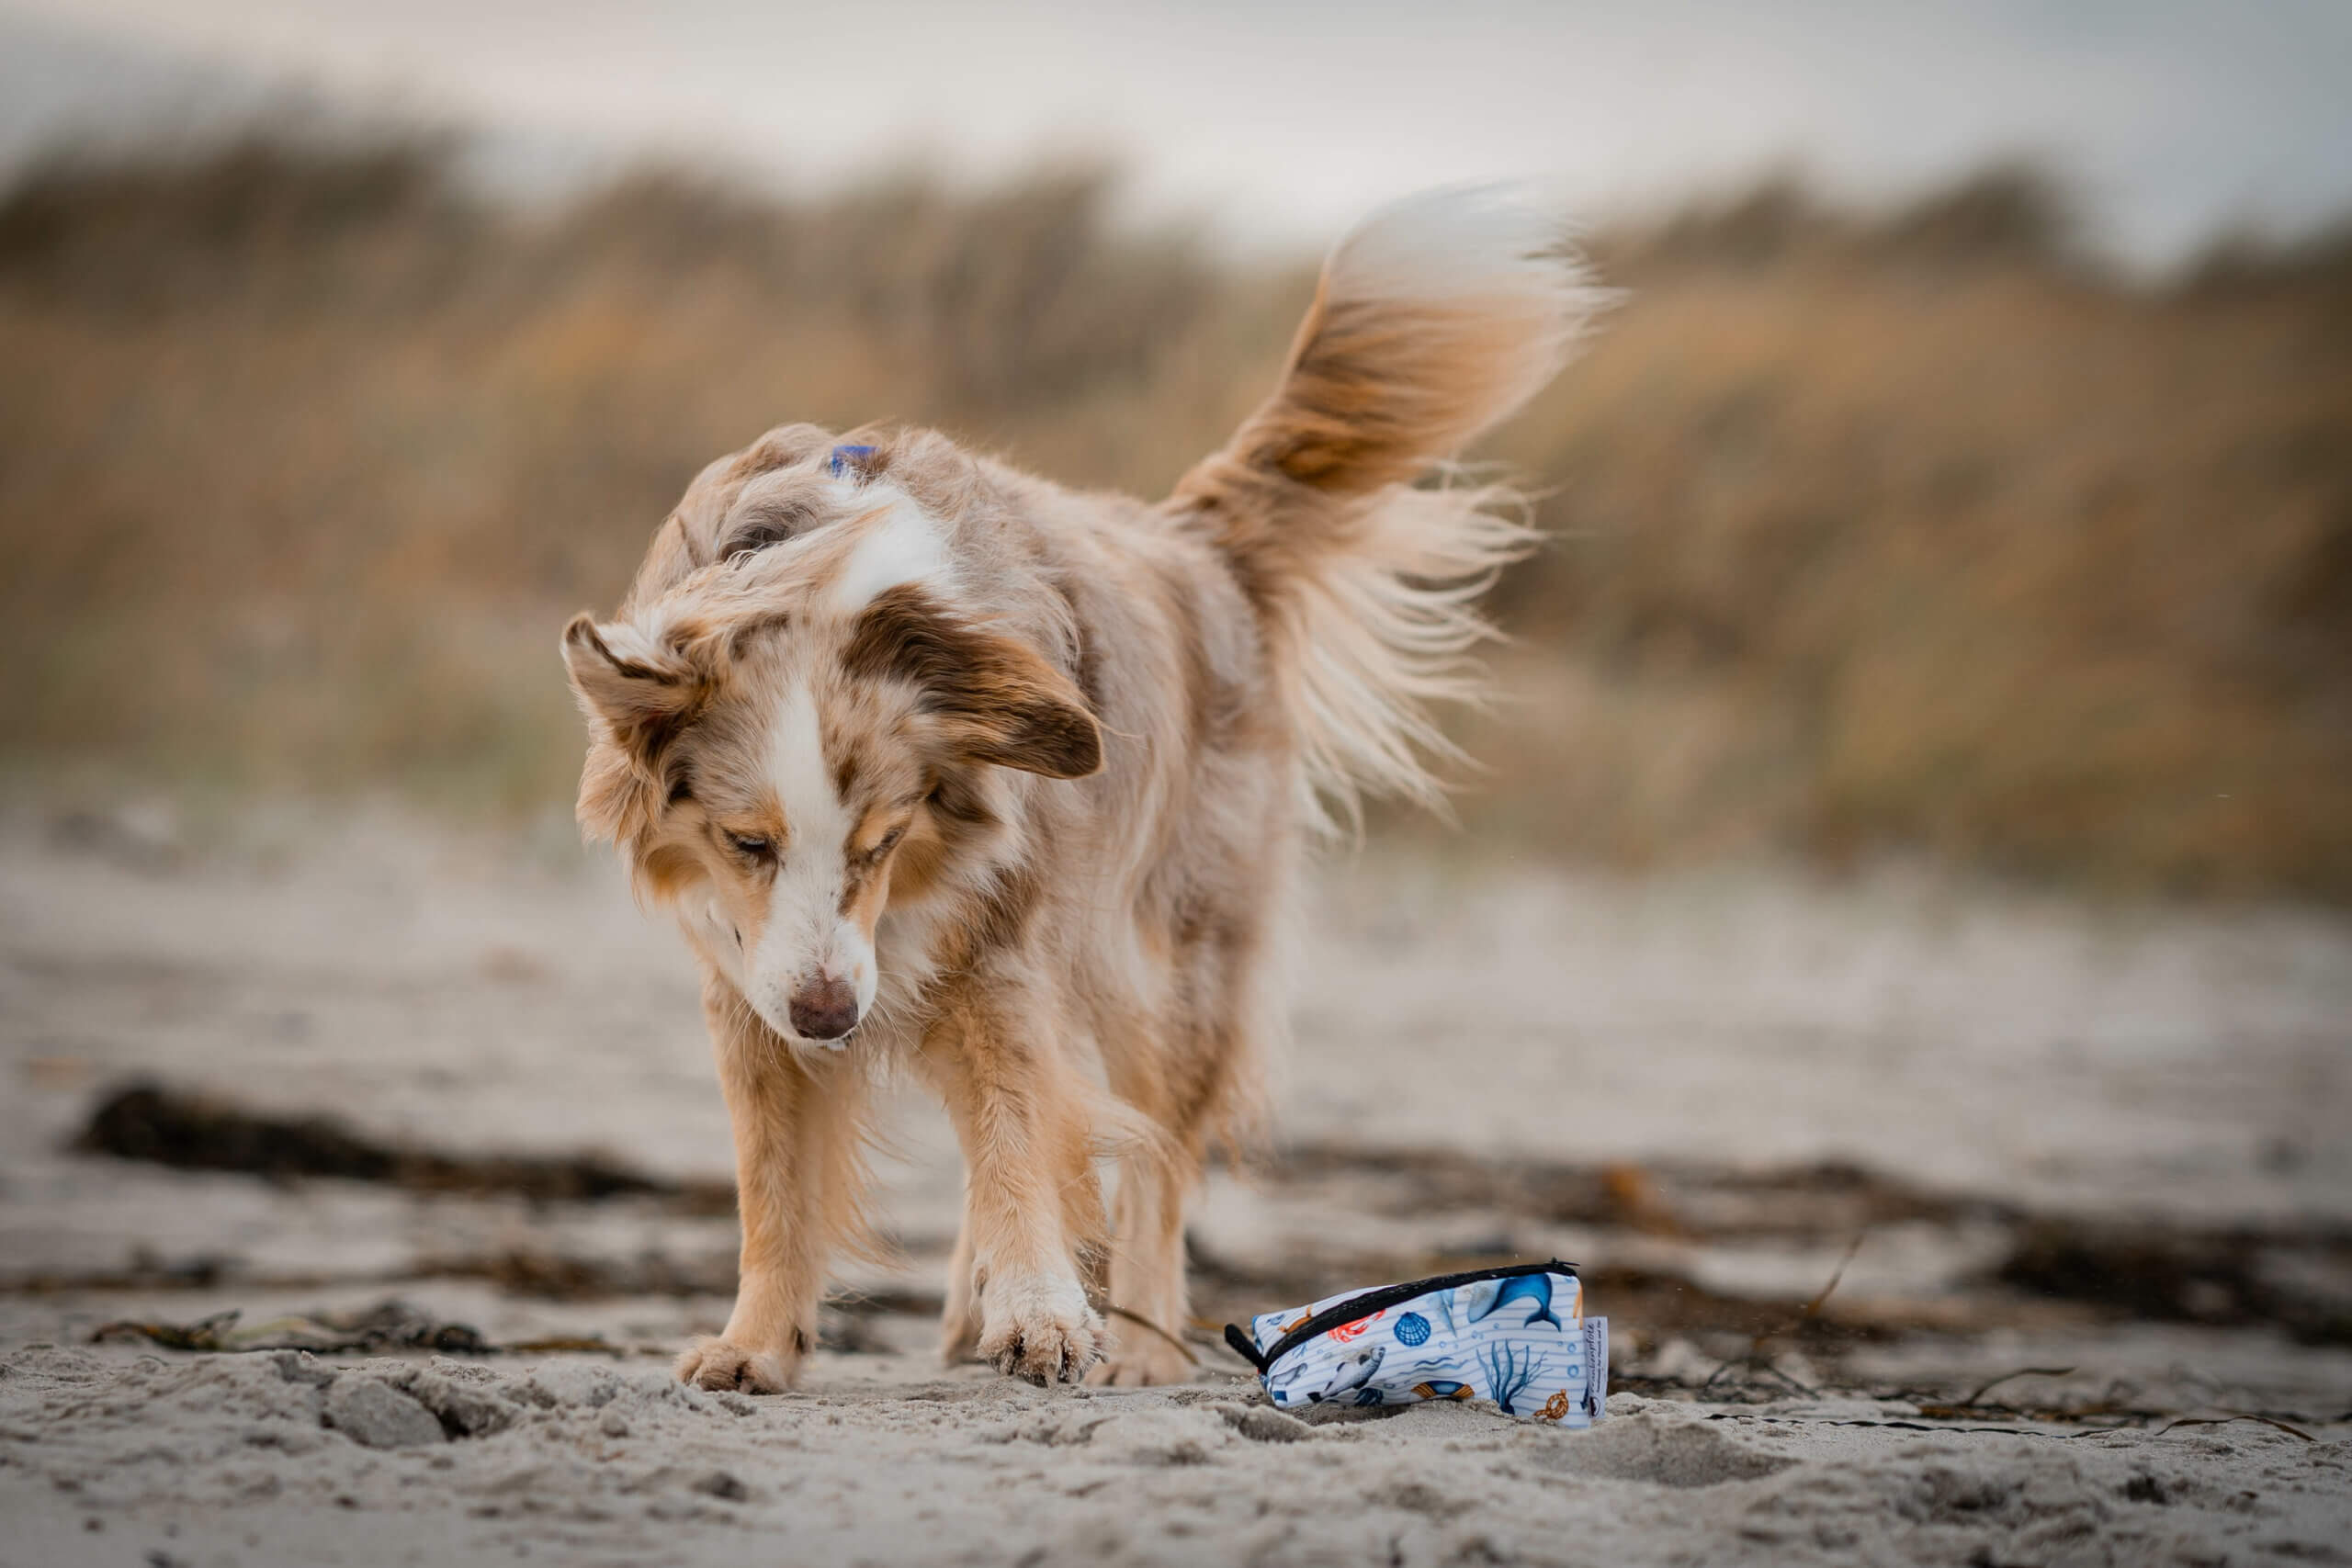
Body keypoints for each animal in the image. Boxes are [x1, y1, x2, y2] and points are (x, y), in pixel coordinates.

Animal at [560, 190, 1609, 1392]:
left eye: (881, 844)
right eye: (746, 844)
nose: (831, 1020)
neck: (825, 579)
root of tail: (1192, 539)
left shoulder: (1003, 947)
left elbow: (1024, 1133)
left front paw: (1044, 1315)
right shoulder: (748, 978)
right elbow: (774, 1178)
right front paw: (757, 1344)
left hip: (1175, 968)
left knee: (1156, 1156)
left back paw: (1141, 1347)